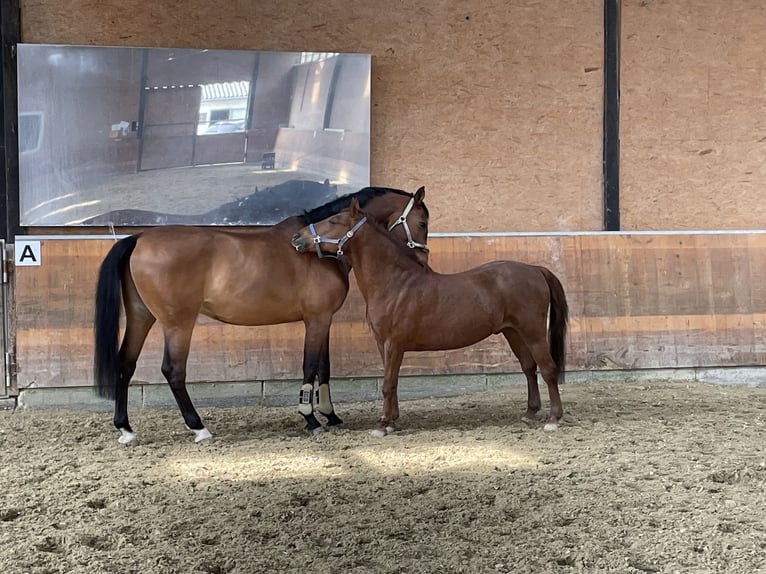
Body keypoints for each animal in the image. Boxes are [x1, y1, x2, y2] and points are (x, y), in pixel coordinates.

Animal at [94, 188, 432, 446]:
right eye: (423, 221)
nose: (423, 260)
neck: (318, 250)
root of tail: (138, 238)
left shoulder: (323, 320)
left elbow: (324, 368)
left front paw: (331, 415)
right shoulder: (317, 319)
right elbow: (311, 366)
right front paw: (310, 419)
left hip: (141, 317)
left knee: (125, 364)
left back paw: (126, 429)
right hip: (178, 324)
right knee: (173, 371)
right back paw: (199, 428)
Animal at [294, 200, 568, 438]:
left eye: (333, 221)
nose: (297, 238)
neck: (394, 282)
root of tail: (535, 270)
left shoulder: (394, 344)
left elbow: (387, 384)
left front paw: (381, 425)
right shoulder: (384, 345)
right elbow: (392, 383)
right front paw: (391, 422)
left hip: (532, 331)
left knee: (548, 368)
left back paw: (553, 419)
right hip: (513, 332)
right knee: (529, 368)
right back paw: (530, 413)